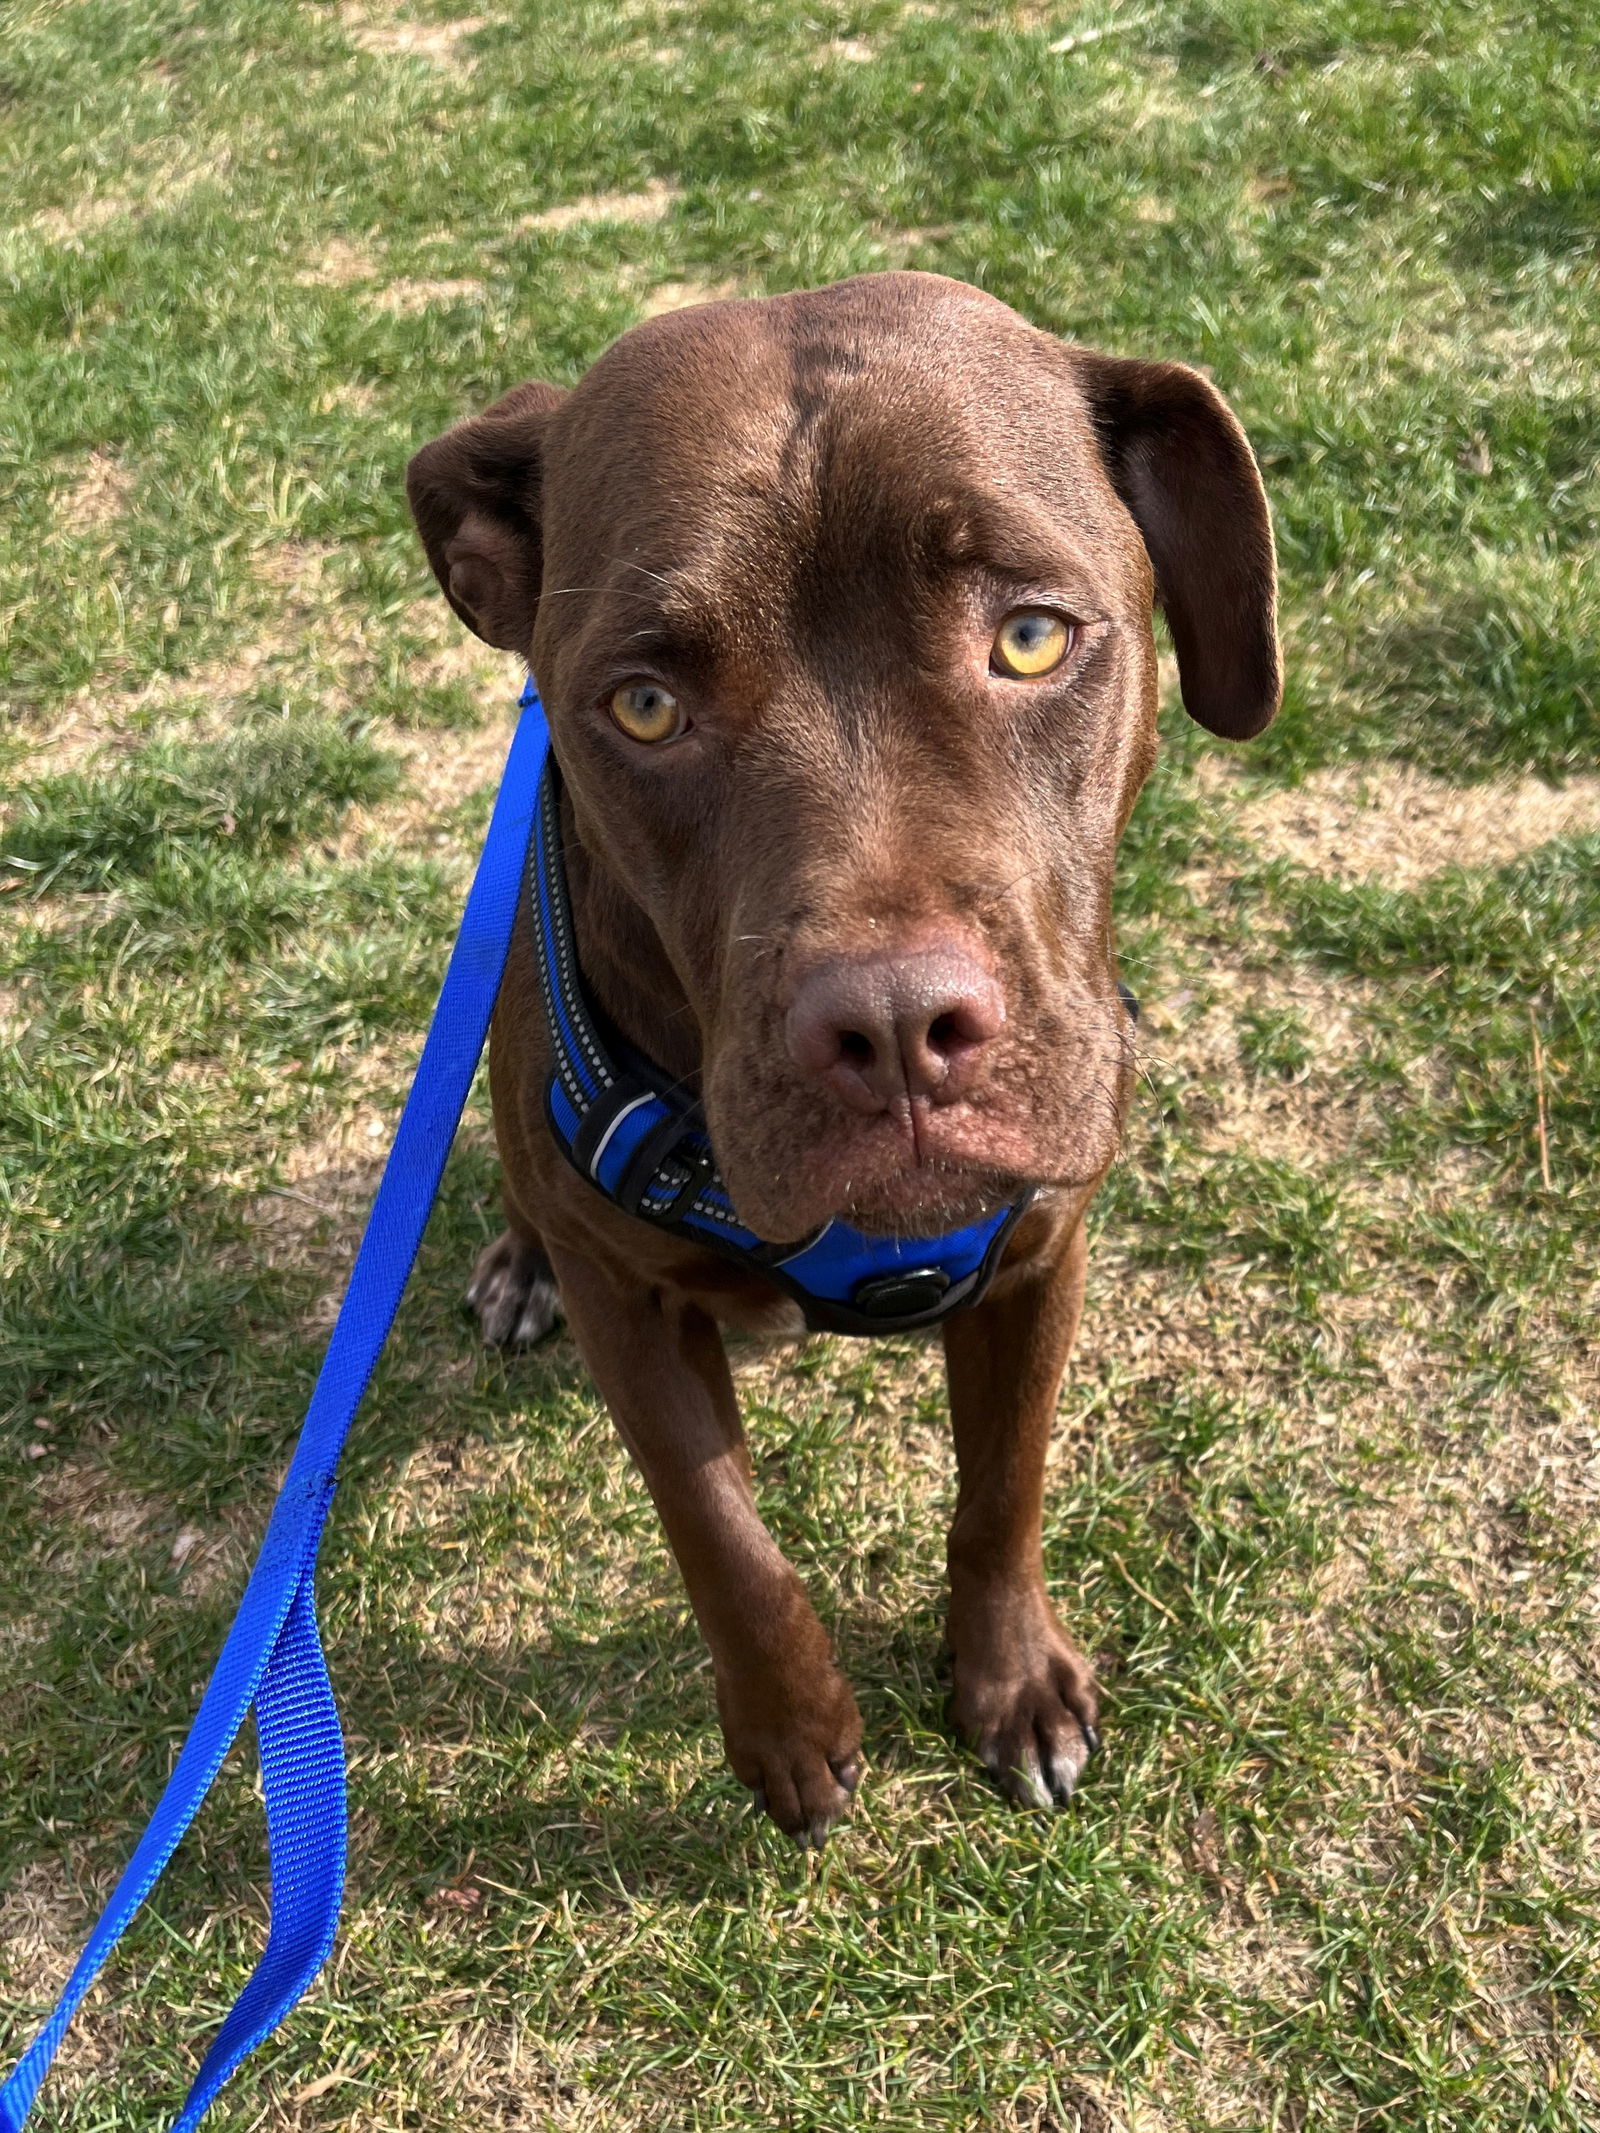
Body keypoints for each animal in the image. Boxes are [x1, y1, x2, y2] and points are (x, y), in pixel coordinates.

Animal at [409, 266, 1280, 1842]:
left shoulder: (1038, 1257)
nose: (892, 1030)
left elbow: (1002, 1488)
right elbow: (723, 1537)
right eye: (644, 705)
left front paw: (1012, 1684)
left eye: (1031, 636)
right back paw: (514, 1265)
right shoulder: (633, 1304)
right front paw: (791, 1737)